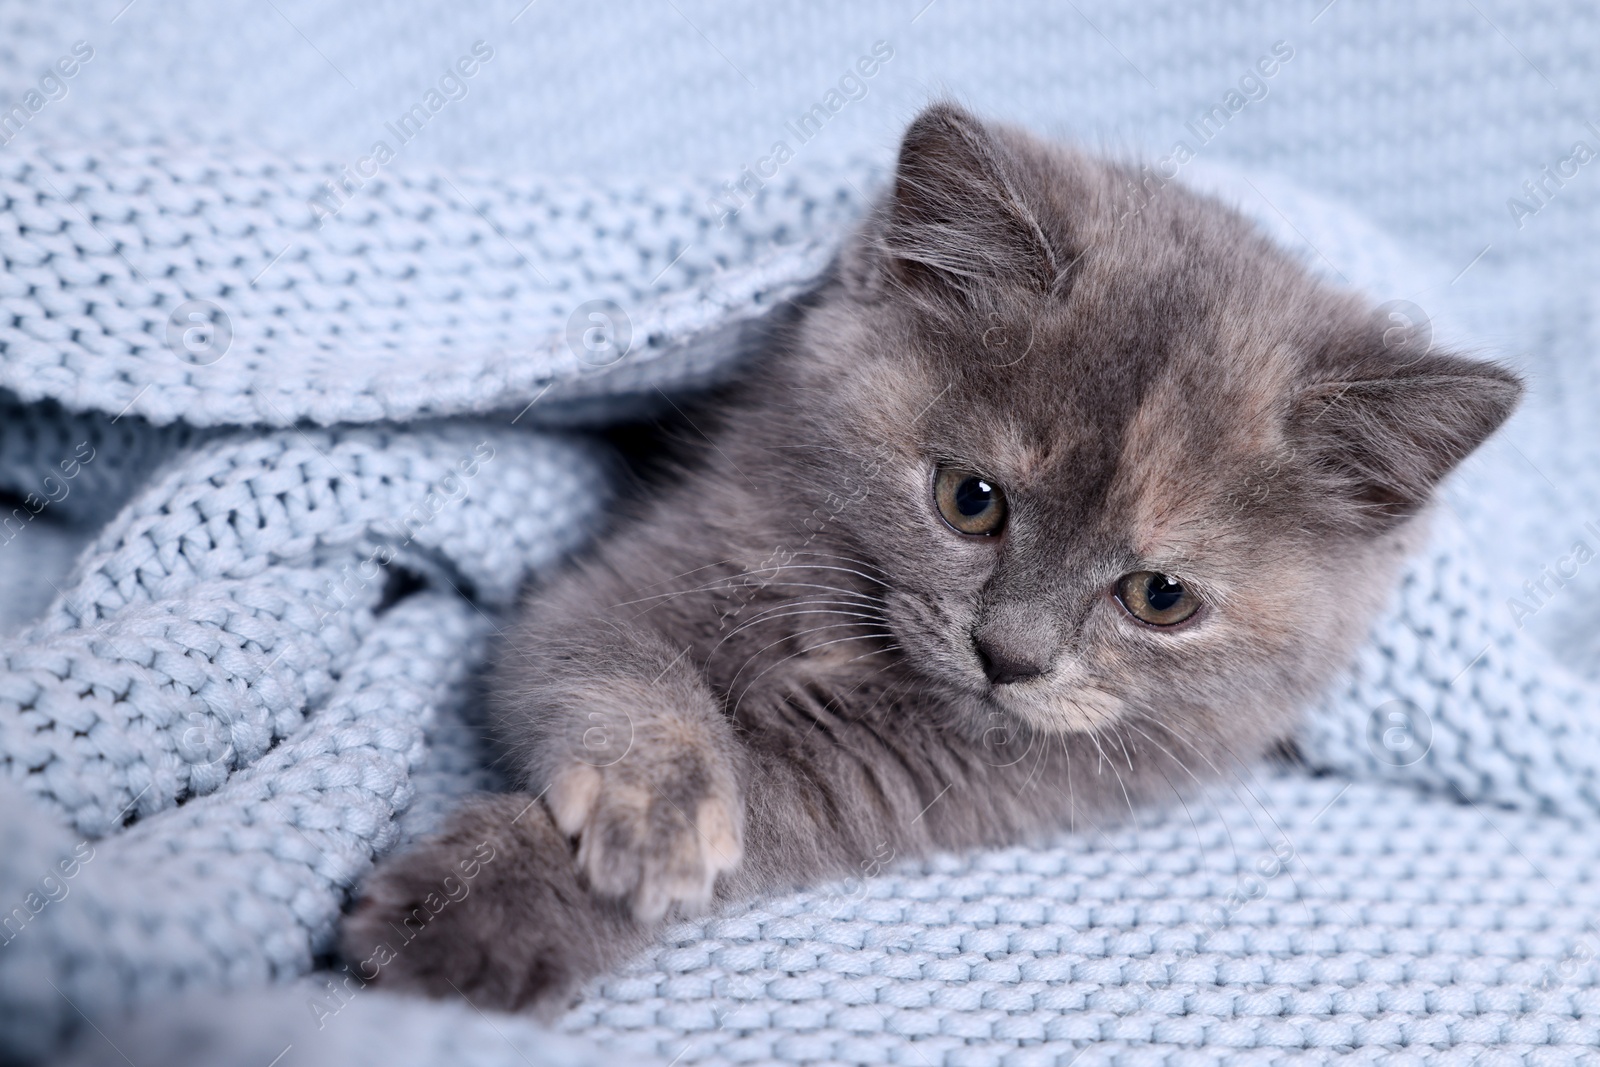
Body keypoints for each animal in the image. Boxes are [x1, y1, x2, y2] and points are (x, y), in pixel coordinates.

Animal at [340, 103, 1523, 1017]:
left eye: (1159, 596)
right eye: (969, 500)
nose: (1009, 653)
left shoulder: (922, 779)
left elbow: (767, 805)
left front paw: (478, 917)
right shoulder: (651, 565)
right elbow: (604, 663)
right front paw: (658, 803)